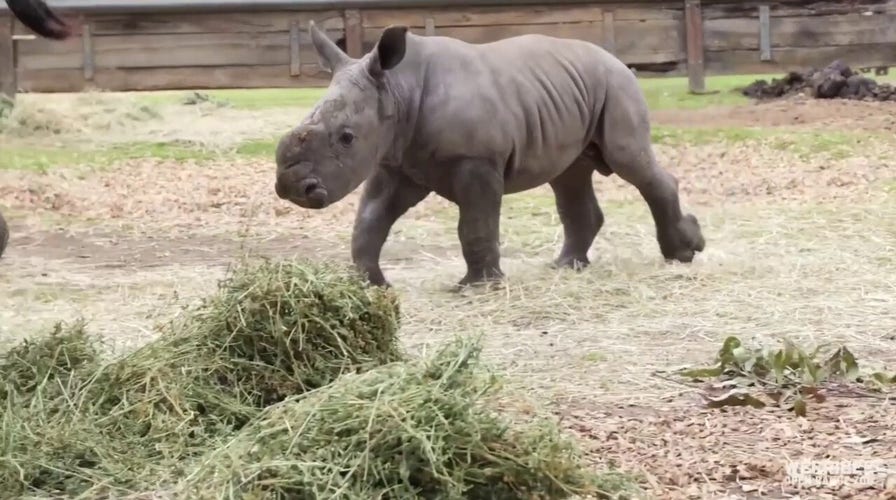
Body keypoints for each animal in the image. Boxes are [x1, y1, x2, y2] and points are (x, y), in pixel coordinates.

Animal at [274, 22, 708, 290]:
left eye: (346, 138)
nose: (293, 188)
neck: (398, 88)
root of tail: (617, 59)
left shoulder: (475, 160)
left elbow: (475, 224)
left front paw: (478, 286)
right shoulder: (396, 160)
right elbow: (369, 219)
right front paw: (371, 285)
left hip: (617, 86)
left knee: (628, 161)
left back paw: (683, 254)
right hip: (572, 91)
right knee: (570, 175)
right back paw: (566, 266)